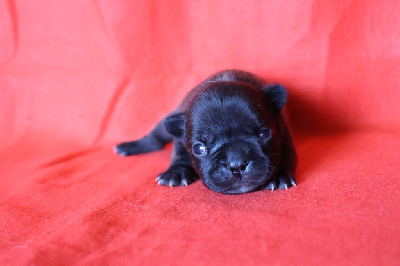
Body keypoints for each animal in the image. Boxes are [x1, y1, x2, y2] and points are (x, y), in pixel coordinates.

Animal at [114, 69, 296, 193]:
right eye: (199, 148)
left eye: (264, 133)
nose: (236, 164)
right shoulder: (180, 139)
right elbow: (179, 155)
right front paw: (176, 172)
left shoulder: (284, 133)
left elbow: (286, 155)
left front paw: (279, 176)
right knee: (155, 139)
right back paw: (128, 147)